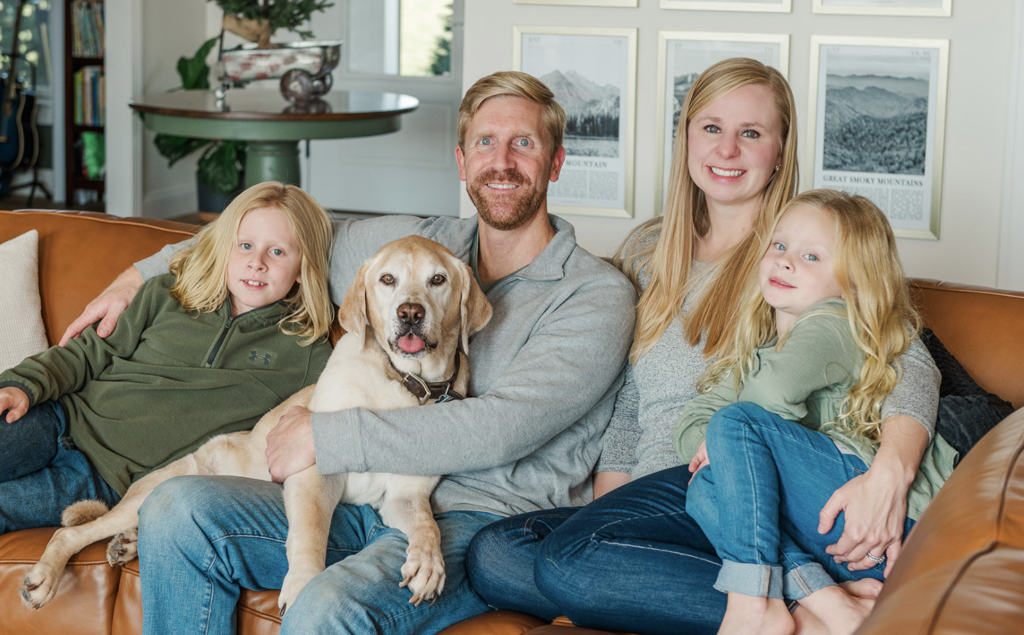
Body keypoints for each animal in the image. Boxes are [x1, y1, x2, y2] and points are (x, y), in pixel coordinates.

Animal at [19, 235, 491, 614]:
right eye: (388, 280)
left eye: (437, 280)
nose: (410, 314)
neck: (403, 385)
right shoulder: (311, 476)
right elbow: (310, 534)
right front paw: (301, 583)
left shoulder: (404, 498)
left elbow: (429, 525)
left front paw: (429, 563)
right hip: (149, 493)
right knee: (70, 535)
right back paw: (48, 575)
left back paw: (129, 542)